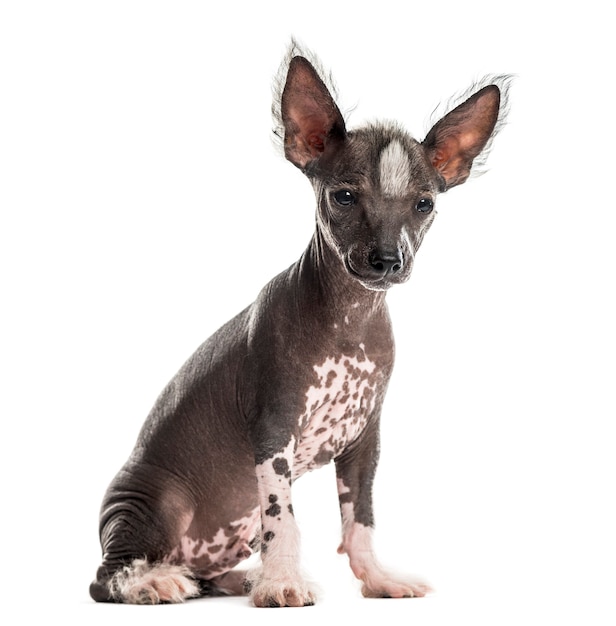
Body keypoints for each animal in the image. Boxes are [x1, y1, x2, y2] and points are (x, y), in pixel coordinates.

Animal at [89, 40, 508, 604]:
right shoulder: (274, 433)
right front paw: (283, 582)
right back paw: (156, 581)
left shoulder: (364, 441)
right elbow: (282, 519)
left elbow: (361, 520)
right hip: (151, 503)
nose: (387, 260)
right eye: (344, 197)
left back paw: (236, 578)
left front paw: (376, 578)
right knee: (109, 576)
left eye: (424, 205)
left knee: (205, 572)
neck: (351, 318)